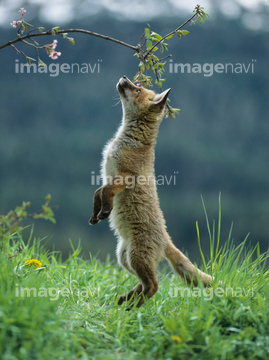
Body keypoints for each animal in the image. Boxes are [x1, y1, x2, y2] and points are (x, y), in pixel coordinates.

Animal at [89, 75, 213, 306]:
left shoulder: (126, 176)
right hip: (125, 259)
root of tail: (165, 238)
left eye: (137, 90)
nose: (124, 77)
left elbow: (106, 192)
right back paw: (126, 300)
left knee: (155, 286)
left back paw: (133, 307)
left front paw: (105, 211)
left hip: (136, 257)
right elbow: (97, 192)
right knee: (145, 284)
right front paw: (95, 214)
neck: (127, 140)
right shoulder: (109, 175)